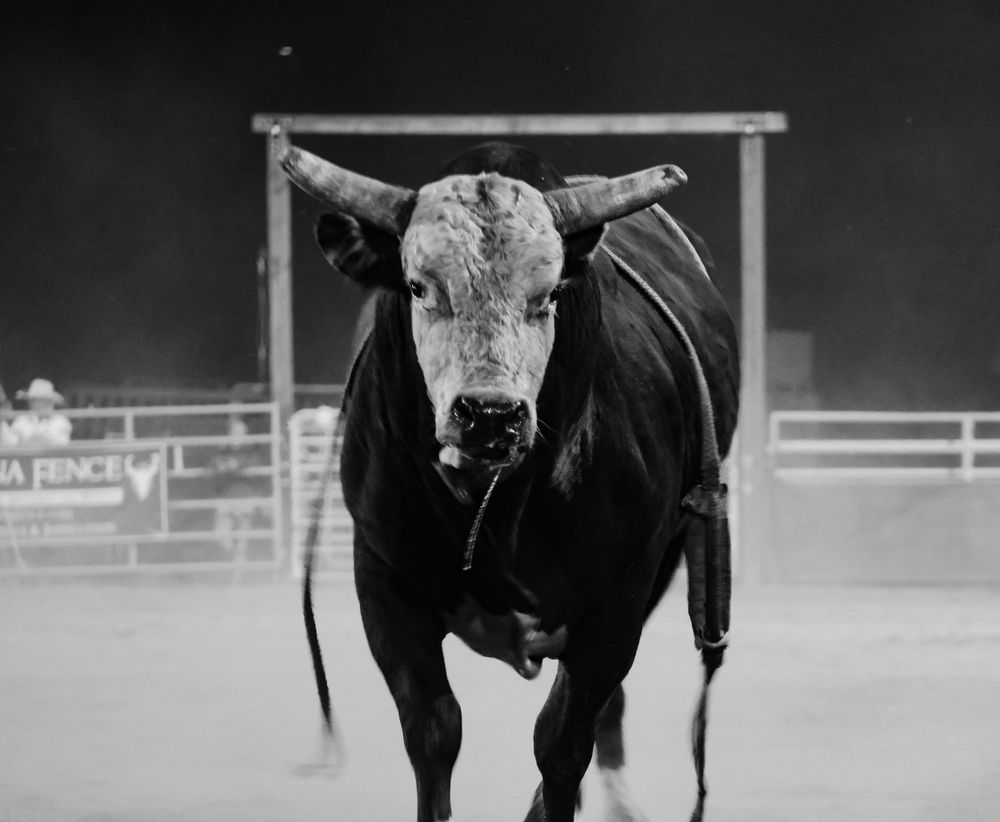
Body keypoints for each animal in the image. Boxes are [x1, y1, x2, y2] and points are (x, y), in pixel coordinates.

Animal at [282, 140, 739, 822]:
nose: (491, 414)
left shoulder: (618, 600)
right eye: (418, 286)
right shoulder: (383, 584)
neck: (490, 508)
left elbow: (562, 743)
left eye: (547, 295)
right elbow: (434, 731)